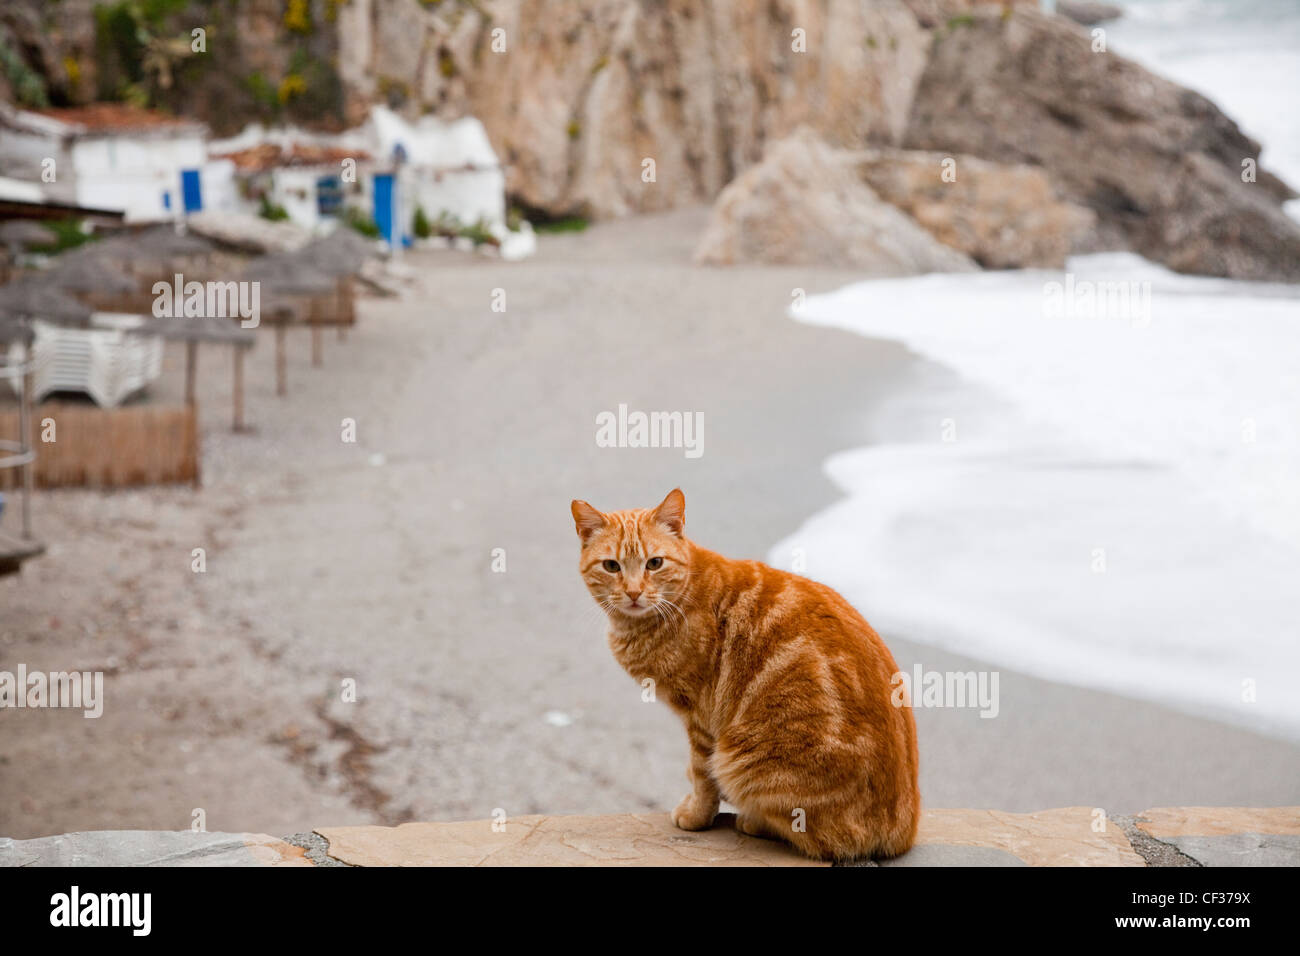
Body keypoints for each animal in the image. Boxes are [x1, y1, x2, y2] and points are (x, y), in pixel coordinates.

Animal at [572, 489, 925, 863]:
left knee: (818, 837)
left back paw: (753, 820)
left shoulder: (701, 717)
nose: (634, 592)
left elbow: (702, 774)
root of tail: (903, 831)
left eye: (654, 563)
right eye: (612, 566)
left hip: (743, 759)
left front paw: (696, 815)